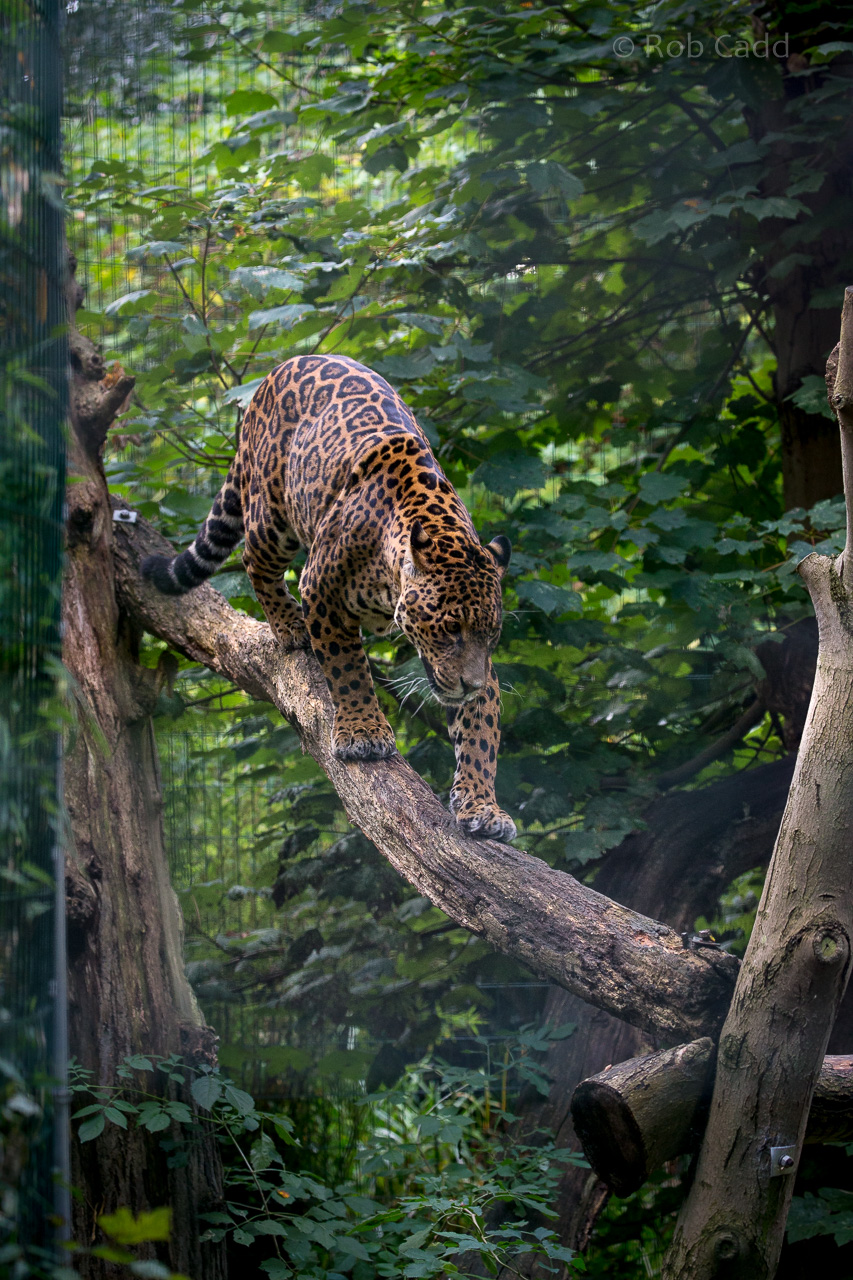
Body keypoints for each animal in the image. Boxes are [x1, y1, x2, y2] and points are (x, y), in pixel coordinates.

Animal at [142, 354, 516, 842]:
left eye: (491, 635)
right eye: (450, 628)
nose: (469, 684)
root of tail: (274, 374)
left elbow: (480, 732)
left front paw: (483, 806)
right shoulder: (321, 590)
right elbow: (347, 667)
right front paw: (363, 732)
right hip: (272, 517)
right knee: (253, 561)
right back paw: (288, 626)